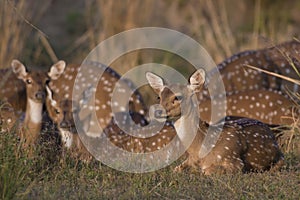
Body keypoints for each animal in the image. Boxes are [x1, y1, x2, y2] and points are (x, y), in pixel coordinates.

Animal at [146, 69, 284, 175]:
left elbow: (207, 171)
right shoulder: (188, 160)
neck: (199, 151)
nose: (157, 112)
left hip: (280, 158)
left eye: (177, 97)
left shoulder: (234, 161)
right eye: (159, 97)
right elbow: (175, 169)